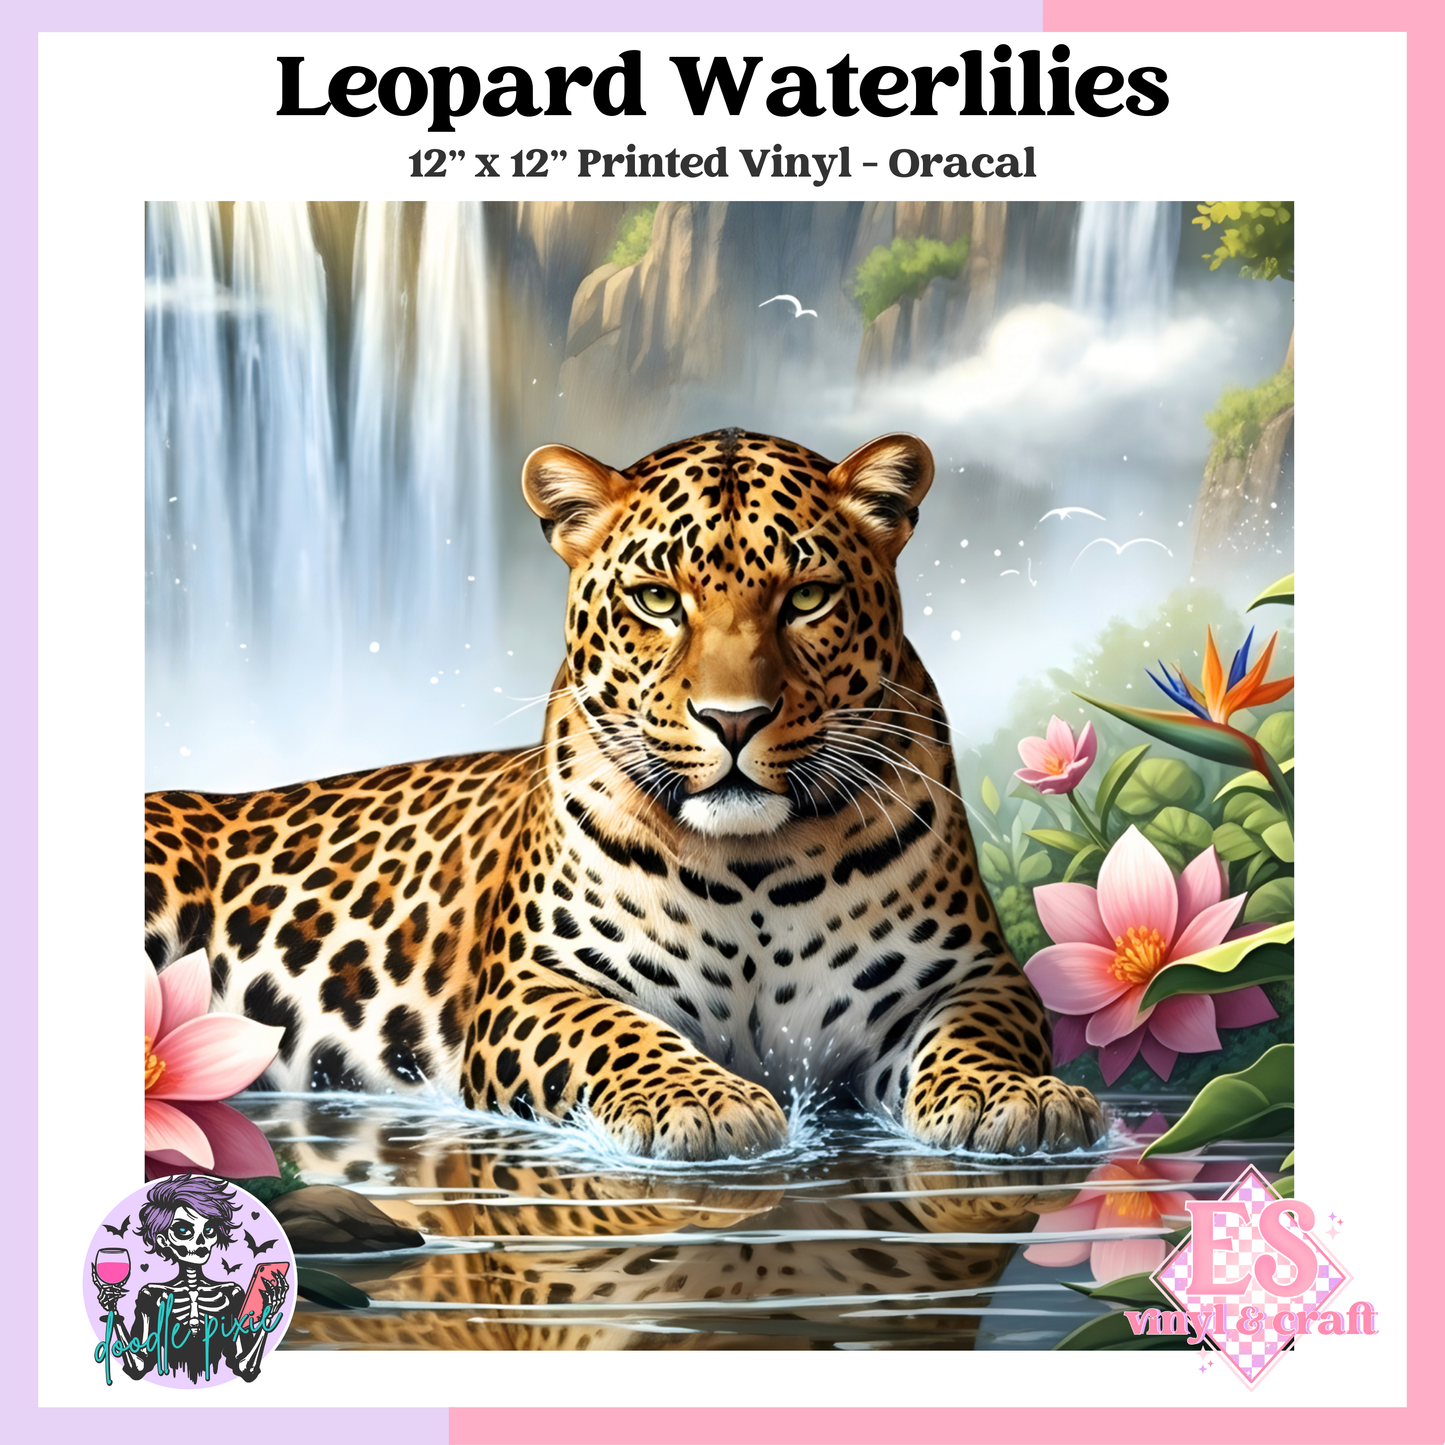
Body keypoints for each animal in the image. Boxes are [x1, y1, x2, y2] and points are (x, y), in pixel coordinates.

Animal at [144, 427, 1106, 1162]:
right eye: (655, 599)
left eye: (806, 597)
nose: (733, 719)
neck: (756, 862)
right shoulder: (535, 982)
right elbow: (618, 1034)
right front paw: (704, 1102)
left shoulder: (967, 973)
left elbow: (976, 1031)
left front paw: (1012, 1095)